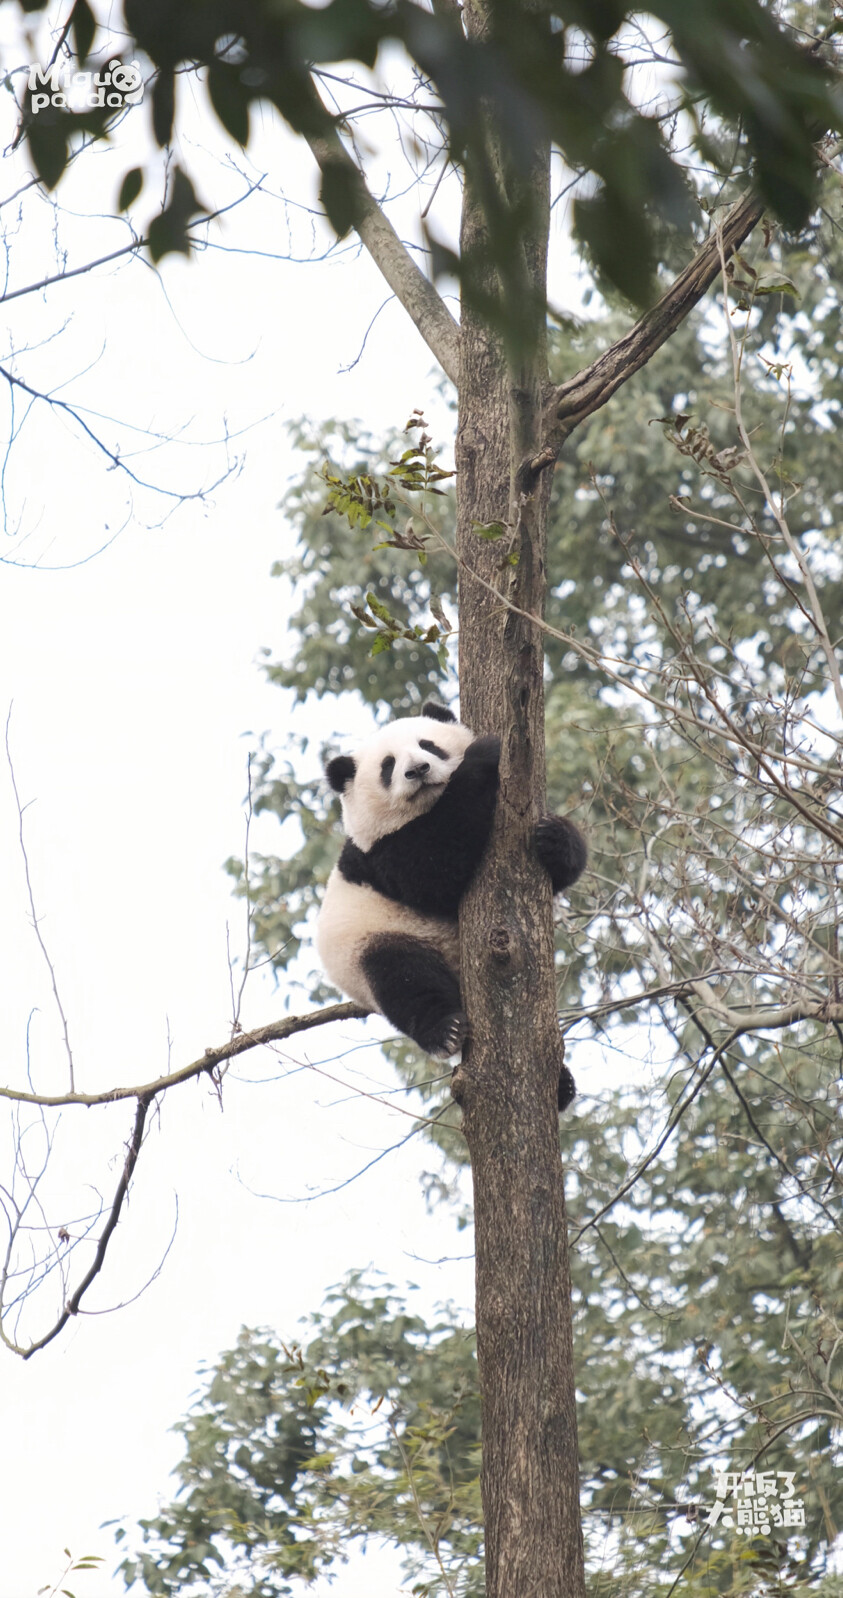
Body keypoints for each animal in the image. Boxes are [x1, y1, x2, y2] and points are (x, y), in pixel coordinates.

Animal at [316, 699, 587, 1112]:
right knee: (403, 977)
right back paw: (445, 1030)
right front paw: (485, 754)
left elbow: (557, 865)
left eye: (428, 745)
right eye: (388, 766)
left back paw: (562, 1086)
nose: (418, 770)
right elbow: (437, 866)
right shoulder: (382, 855)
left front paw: (554, 839)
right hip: (369, 944)